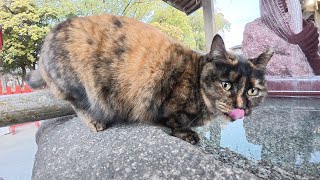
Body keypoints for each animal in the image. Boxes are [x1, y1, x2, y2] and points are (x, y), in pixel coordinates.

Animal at [26, 13, 274, 145]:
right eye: (226, 85)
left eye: (252, 90)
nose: (241, 107)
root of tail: (47, 39)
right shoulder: (163, 105)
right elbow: (175, 122)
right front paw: (188, 134)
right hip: (78, 85)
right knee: (77, 105)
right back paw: (95, 122)